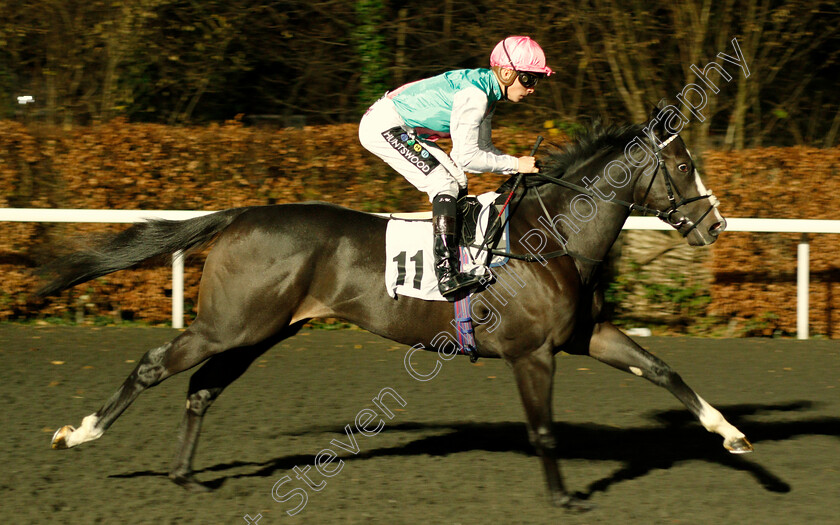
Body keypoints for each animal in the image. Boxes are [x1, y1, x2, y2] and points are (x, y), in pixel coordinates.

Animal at [39, 104, 752, 510]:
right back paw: (80, 432)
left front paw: (731, 434)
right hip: (229, 324)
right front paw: (561, 496)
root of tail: (242, 214)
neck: (551, 237)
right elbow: (543, 429)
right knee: (155, 365)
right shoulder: (532, 354)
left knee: (201, 389)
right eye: (682, 166)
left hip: (260, 331)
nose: (715, 224)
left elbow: (661, 369)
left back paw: (186, 477)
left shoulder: (585, 335)